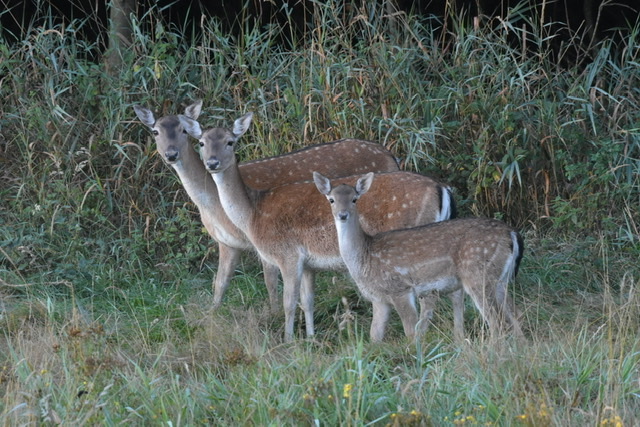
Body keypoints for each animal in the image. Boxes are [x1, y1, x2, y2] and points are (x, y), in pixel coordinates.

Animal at [134, 102, 400, 312]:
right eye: (155, 131)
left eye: (182, 130)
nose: (171, 154)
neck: (214, 207)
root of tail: (391, 156)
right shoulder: (227, 242)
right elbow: (220, 282)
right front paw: (210, 316)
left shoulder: (260, 239)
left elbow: (270, 282)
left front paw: (273, 315)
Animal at [180, 112, 460, 342]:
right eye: (202, 142)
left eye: (230, 141)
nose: (212, 163)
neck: (253, 214)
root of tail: (443, 189)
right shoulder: (308, 263)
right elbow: (307, 301)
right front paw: (311, 338)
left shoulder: (288, 255)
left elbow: (289, 301)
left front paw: (289, 340)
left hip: (415, 249)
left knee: (430, 297)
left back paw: (420, 336)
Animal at [312, 172, 524, 342]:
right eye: (331, 199)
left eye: (355, 199)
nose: (343, 215)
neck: (365, 257)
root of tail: (512, 234)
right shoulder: (379, 299)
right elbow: (375, 335)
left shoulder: (400, 288)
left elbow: (410, 331)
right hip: (500, 279)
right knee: (515, 314)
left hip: (478, 275)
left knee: (496, 321)